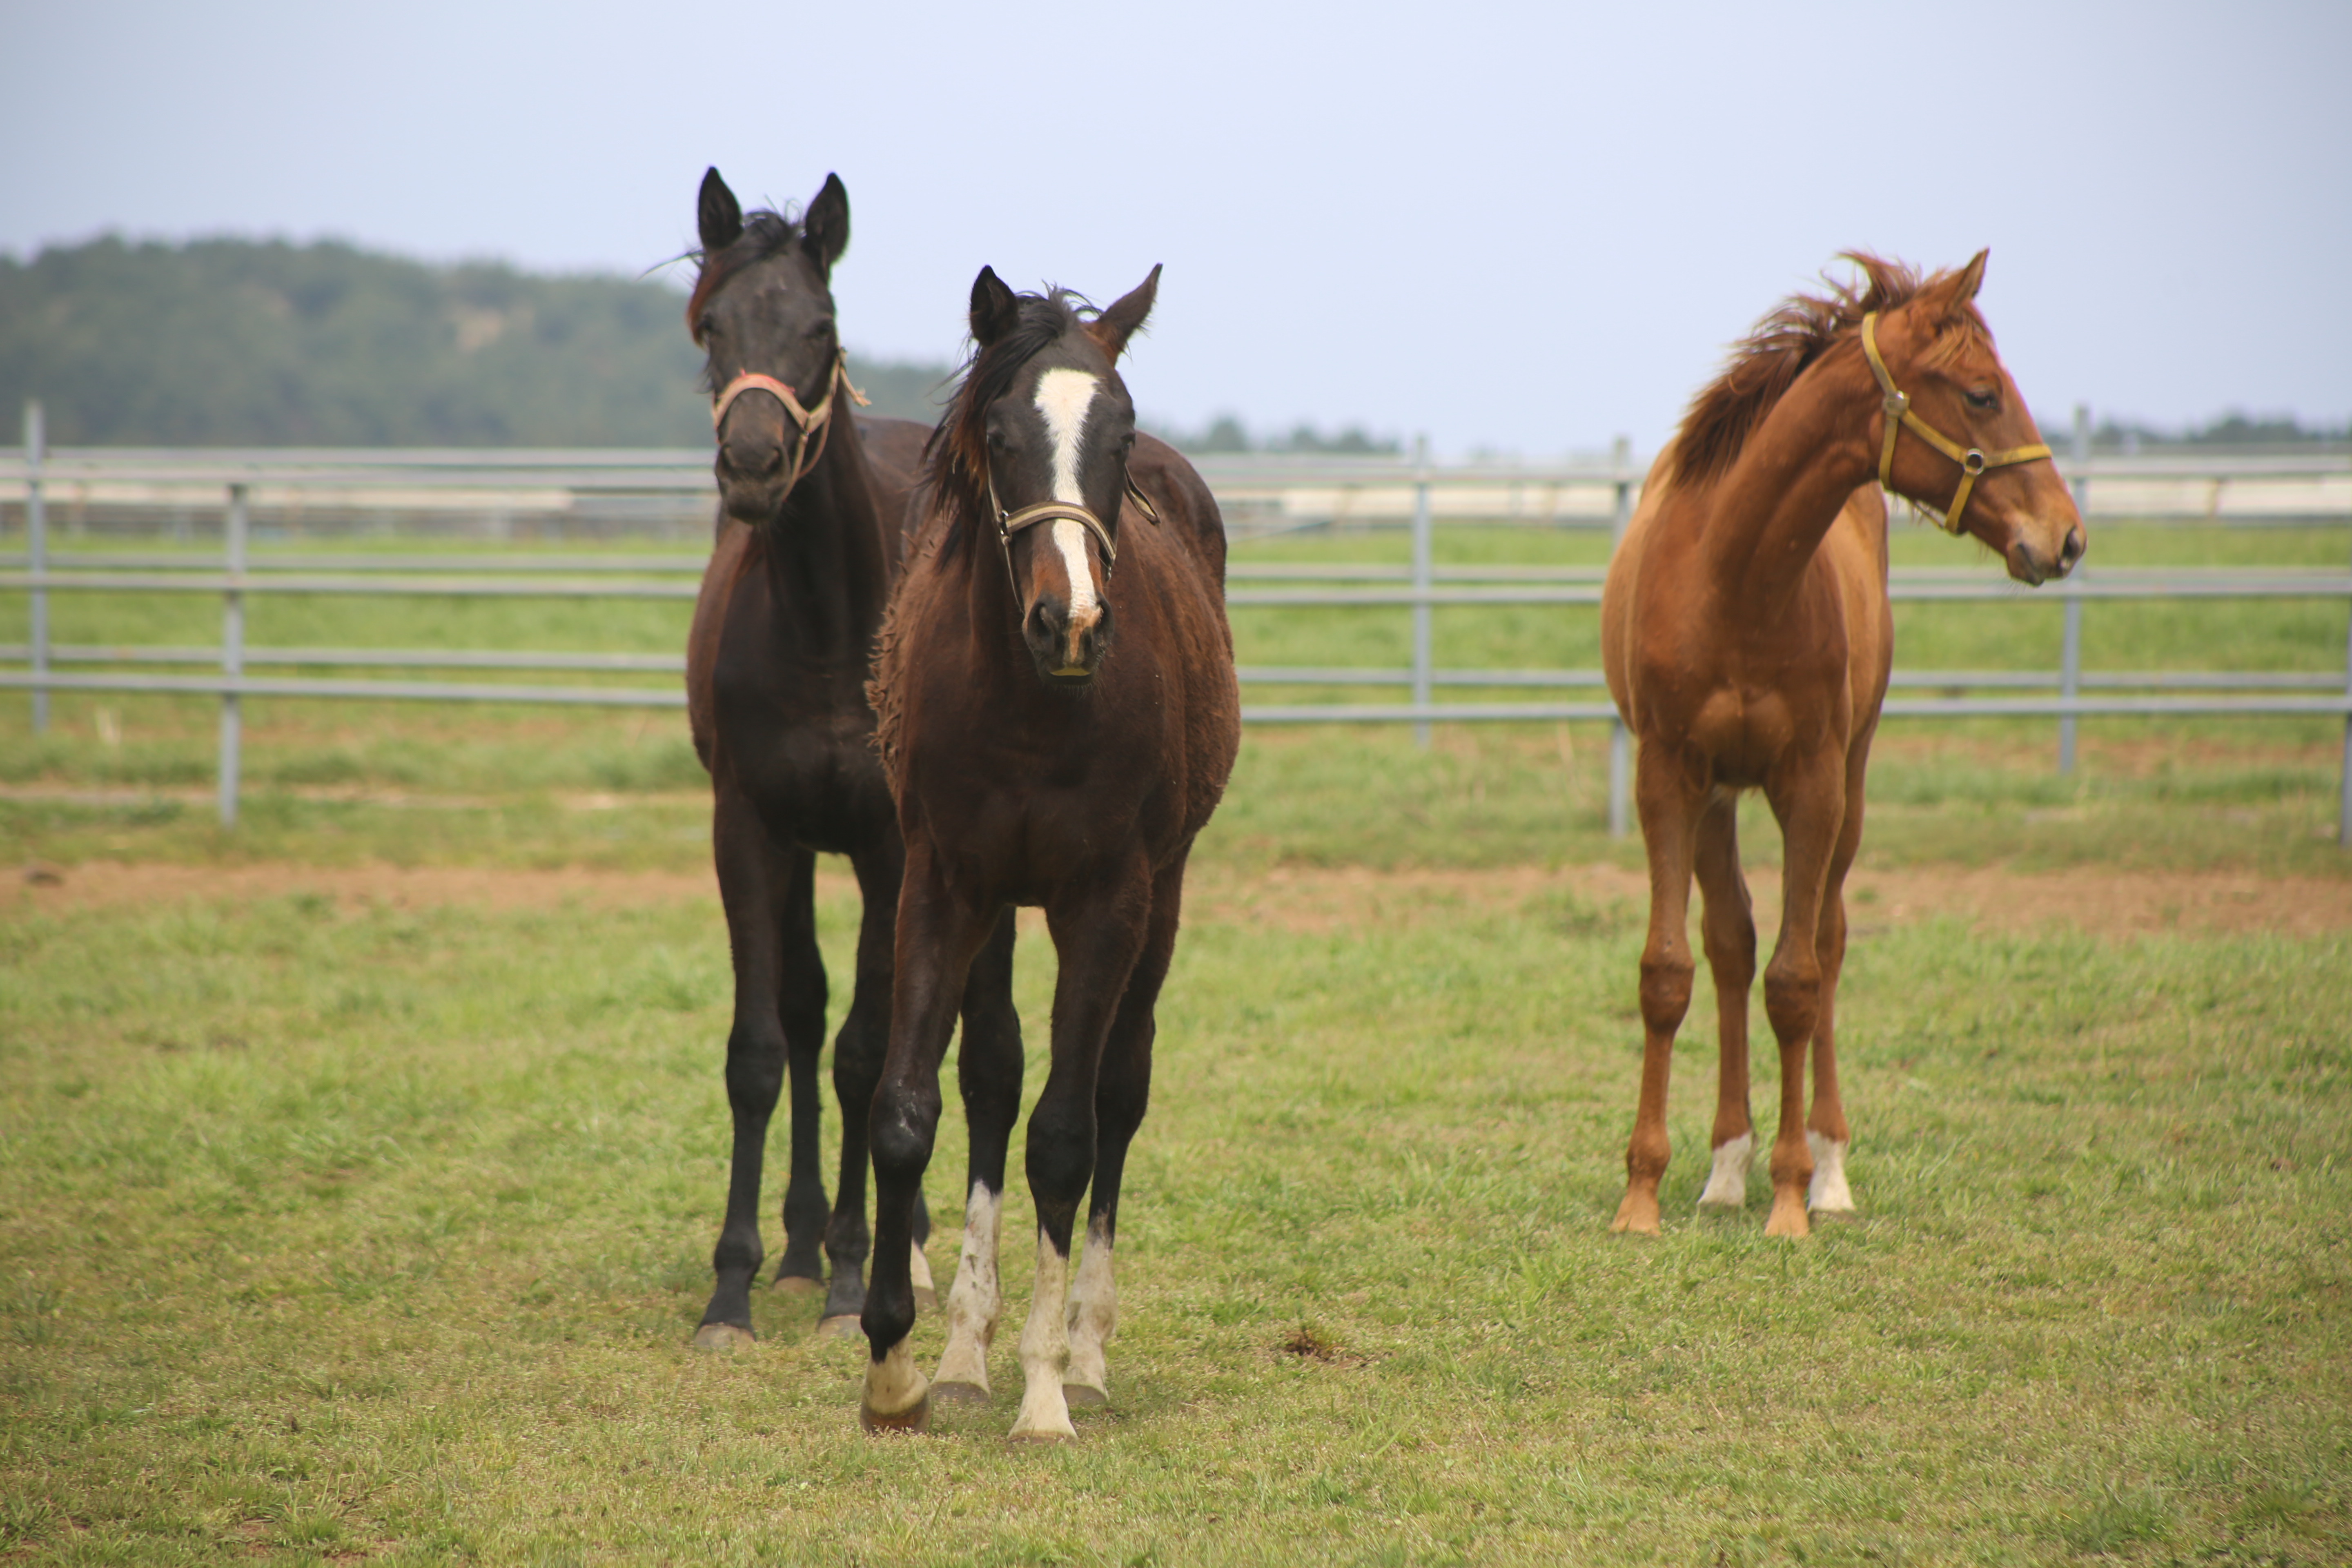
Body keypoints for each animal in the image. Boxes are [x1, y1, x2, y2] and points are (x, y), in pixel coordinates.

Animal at [677, 169, 1016, 1354]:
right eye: (711, 326)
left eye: (820, 328)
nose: (753, 465)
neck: (829, 629)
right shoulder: (748, 828)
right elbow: (760, 1048)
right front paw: (734, 1287)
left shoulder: (888, 846)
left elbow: (871, 1058)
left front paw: (851, 1278)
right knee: (805, 1012)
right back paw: (801, 1238)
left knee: (956, 1034)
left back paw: (893, 1244)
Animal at [851, 267, 1251, 1439]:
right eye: (998, 433)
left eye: (1119, 433)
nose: (1068, 622)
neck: (1028, 705)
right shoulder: (941, 884)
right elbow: (910, 1113)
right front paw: (899, 1368)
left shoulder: (1106, 901)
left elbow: (1067, 1134)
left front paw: (1042, 1391)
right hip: (997, 906)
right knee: (990, 1078)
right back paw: (964, 1351)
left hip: (1162, 895)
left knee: (1120, 1088)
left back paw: (1084, 1354)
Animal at [1608, 255, 2088, 1241]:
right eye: (1982, 394)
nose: (2064, 538)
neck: (1734, 576)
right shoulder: (1667, 778)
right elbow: (1669, 972)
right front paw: (1642, 1195)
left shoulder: (1815, 787)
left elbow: (1798, 981)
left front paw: (1794, 1196)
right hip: (1718, 797)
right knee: (1730, 944)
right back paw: (1724, 1166)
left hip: (1851, 786)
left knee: (1824, 943)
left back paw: (1826, 1166)